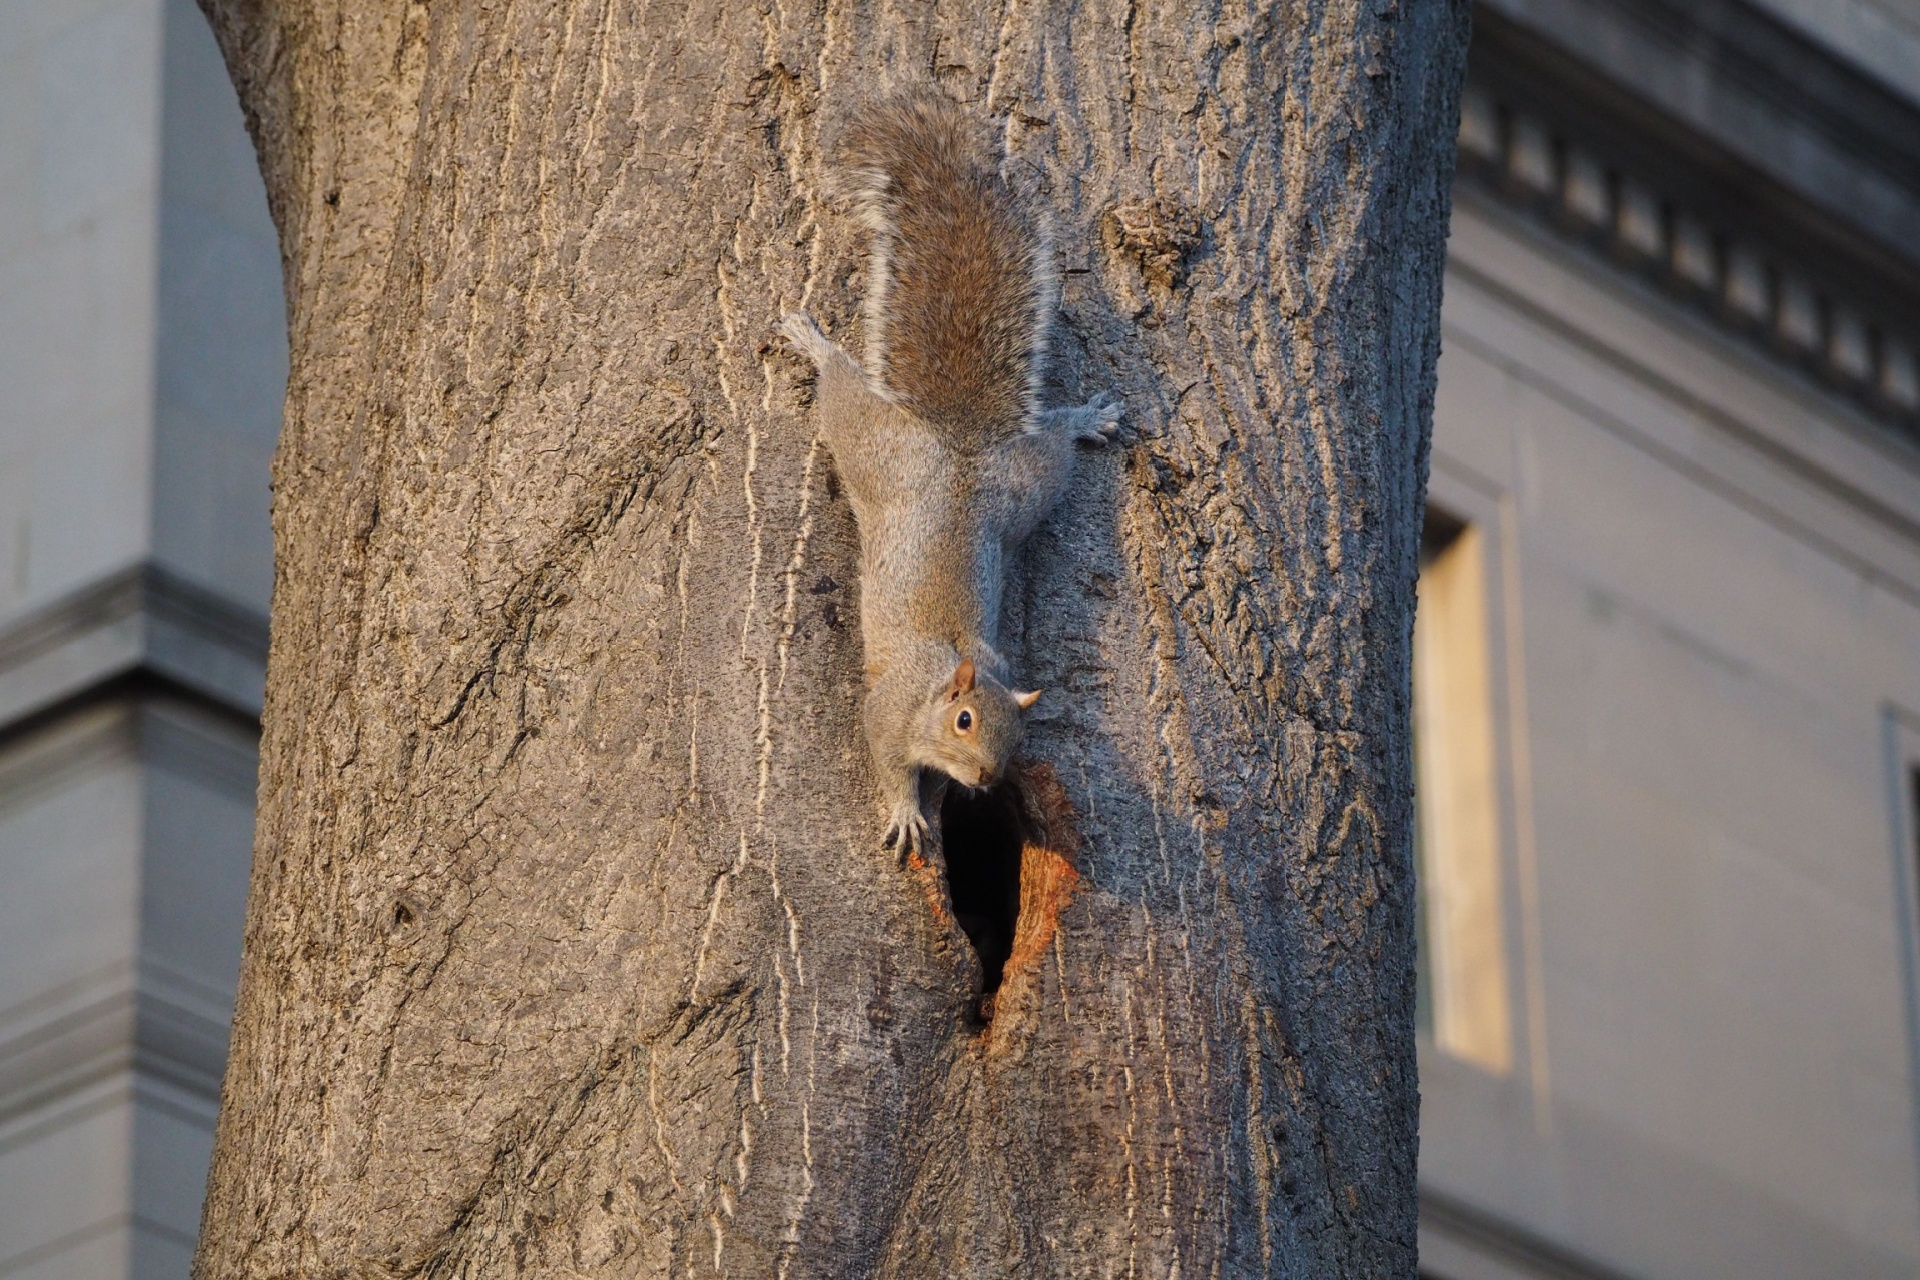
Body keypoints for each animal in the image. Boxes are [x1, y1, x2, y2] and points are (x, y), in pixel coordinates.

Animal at [780, 94, 1120, 856]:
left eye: (1018, 734)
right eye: (965, 721)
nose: (989, 779)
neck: (942, 683)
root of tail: (958, 444)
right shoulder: (886, 712)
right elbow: (887, 763)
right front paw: (908, 811)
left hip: (1024, 490)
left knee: (1053, 444)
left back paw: (1085, 419)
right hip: (872, 445)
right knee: (841, 389)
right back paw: (816, 345)